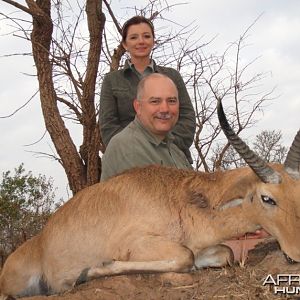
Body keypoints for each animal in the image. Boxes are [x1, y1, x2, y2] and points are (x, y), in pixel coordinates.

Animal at [0, 100, 300, 298]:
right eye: (267, 198)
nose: (296, 253)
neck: (180, 198)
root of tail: (38, 241)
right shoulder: (139, 244)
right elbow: (184, 256)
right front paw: (90, 271)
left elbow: (222, 253)